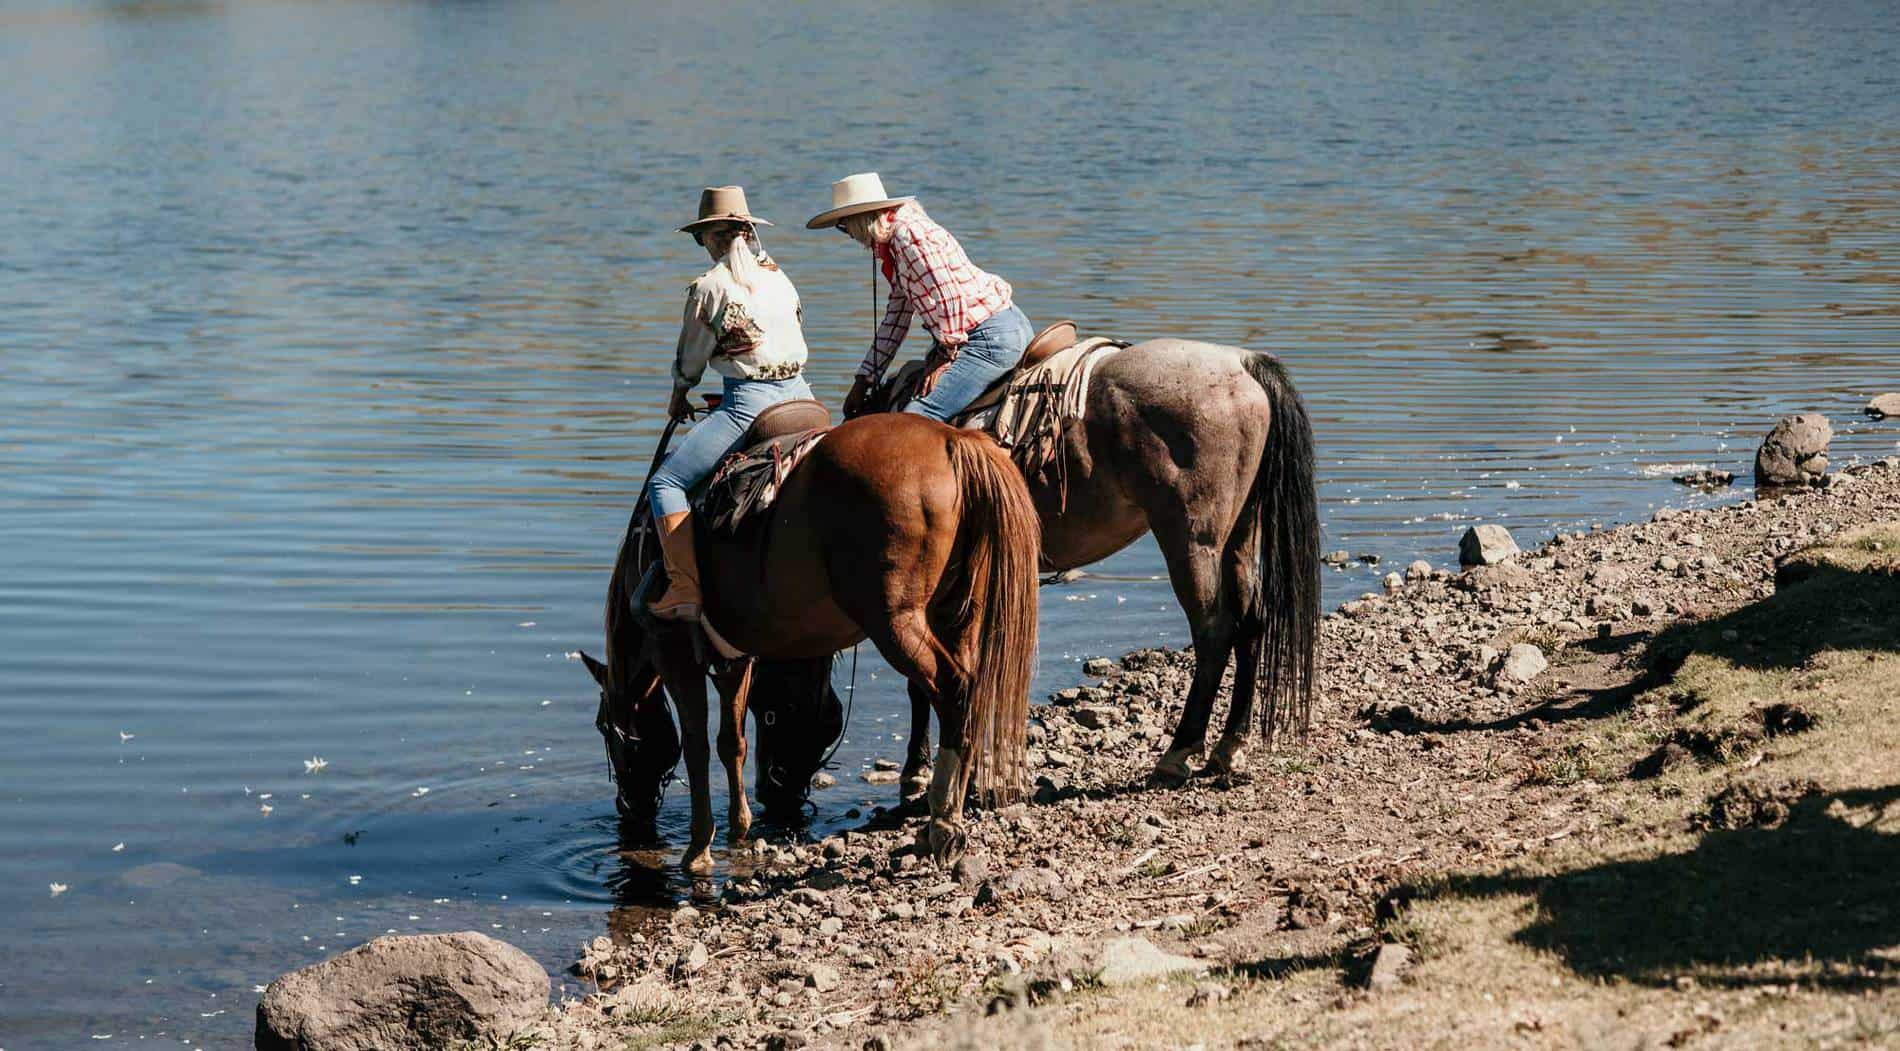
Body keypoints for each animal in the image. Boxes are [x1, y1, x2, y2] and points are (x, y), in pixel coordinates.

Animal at [577, 410, 1041, 870]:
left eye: (603, 726)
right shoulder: (735, 659)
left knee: (954, 691)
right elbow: (732, 742)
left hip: (897, 623)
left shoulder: (674, 652)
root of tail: (952, 441)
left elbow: (696, 745)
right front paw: (738, 829)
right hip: (958, 613)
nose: (628, 812)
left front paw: (698, 847)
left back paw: (942, 821)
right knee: (969, 692)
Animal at [771, 340, 1322, 790]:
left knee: (1214, 631)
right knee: (1252, 623)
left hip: (1193, 540)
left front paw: (917, 769)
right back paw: (1229, 747)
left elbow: (922, 679)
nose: (780, 788)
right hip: (1239, 535)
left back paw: (1178, 752)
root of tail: (1242, 365)